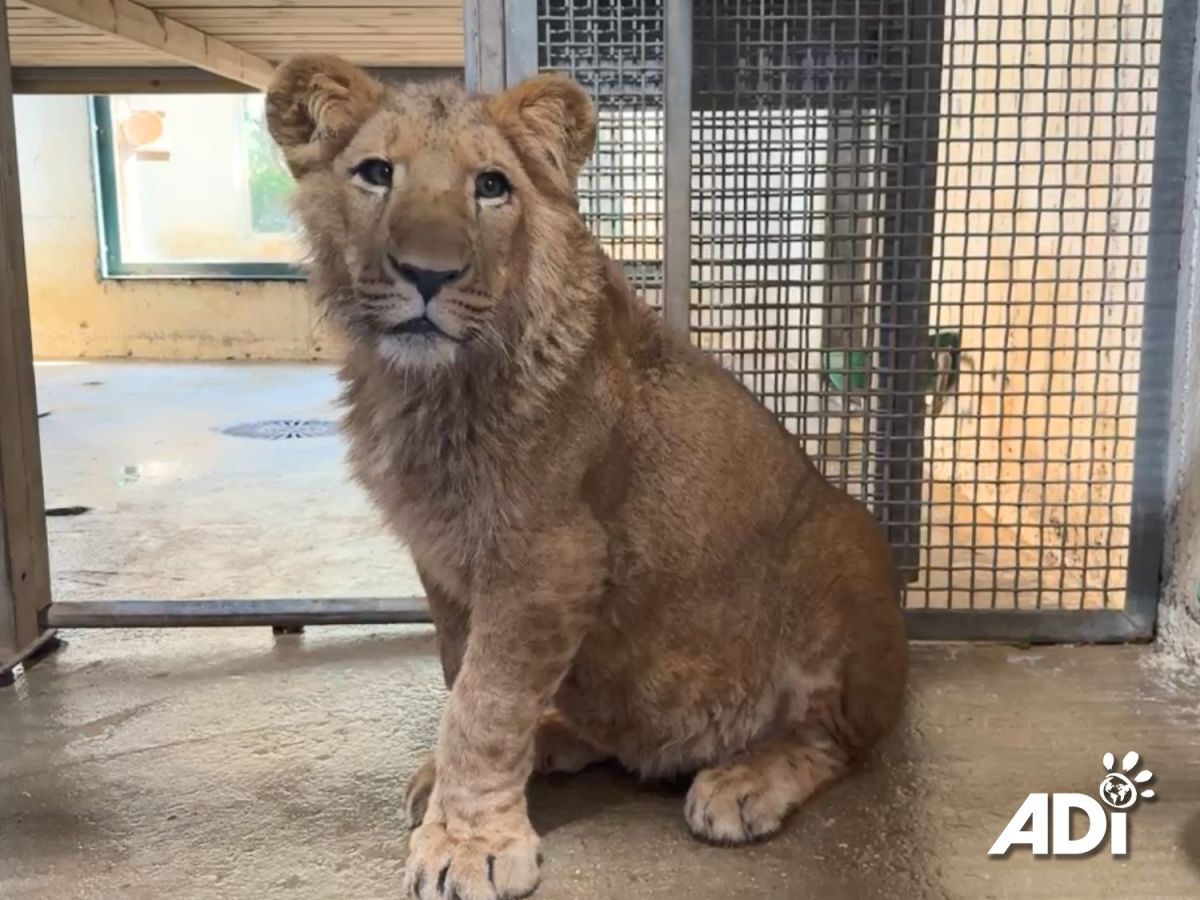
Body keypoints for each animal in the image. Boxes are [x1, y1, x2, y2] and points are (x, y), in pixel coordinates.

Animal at [267, 55, 909, 900]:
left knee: (834, 740)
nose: (428, 275)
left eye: (492, 186)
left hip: (841, 547)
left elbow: (485, 701)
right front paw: (457, 788)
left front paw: (467, 843)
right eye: (376, 173)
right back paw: (558, 738)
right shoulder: (441, 554)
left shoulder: (551, 556)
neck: (419, 388)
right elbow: (463, 676)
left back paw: (745, 781)